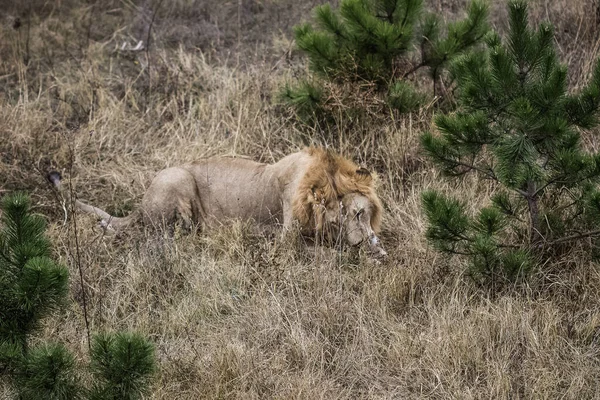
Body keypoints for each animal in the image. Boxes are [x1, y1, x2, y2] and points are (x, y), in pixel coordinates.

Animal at [50, 147, 390, 256]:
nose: (362, 243)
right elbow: (328, 255)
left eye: (360, 213)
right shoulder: (286, 243)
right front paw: (362, 256)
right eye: (337, 219)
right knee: (158, 236)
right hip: (177, 178)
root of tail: (140, 203)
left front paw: (377, 250)